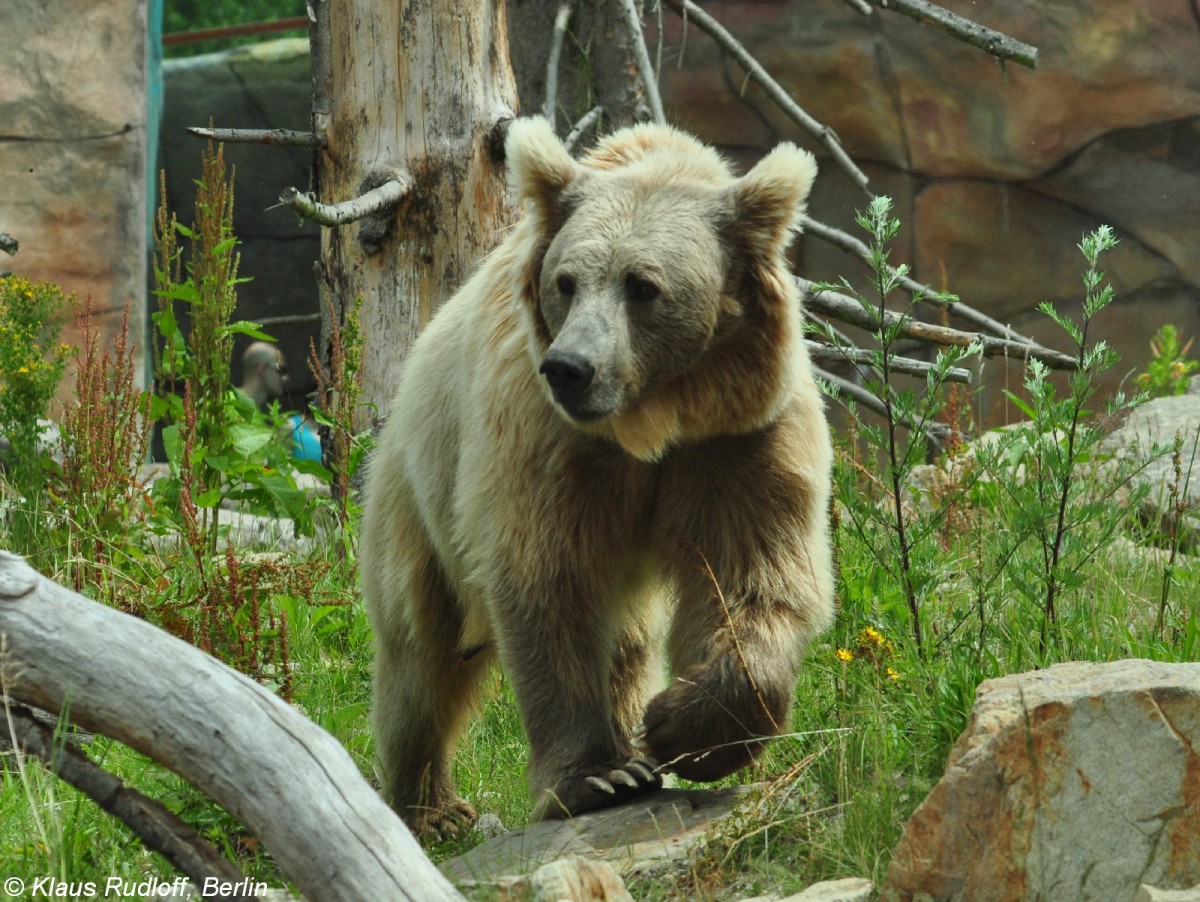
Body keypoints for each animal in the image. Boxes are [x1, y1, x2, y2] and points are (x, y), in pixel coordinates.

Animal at [360, 116, 835, 834]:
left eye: (643, 285)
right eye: (566, 281)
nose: (570, 368)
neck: (649, 423)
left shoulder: (738, 438)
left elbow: (752, 574)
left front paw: (678, 728)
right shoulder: (545, 440)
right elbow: (550, 581)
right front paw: (596, 776)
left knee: (628, 646)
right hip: (418, 499)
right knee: (421, 660)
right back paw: (431, 805)